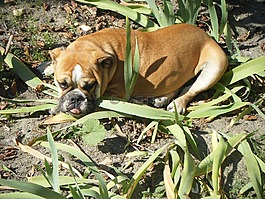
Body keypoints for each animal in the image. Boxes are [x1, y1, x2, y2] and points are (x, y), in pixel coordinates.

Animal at [46, 23, 227, 116]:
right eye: (62, 84)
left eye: (90, 85)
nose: (75, 98)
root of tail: (207, 36)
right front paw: (49, 67)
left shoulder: (112, 95)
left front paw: (56, 108)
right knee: (178, 85)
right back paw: (162, 98)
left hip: (215, 67)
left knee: (192, 90)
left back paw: (178, 103)